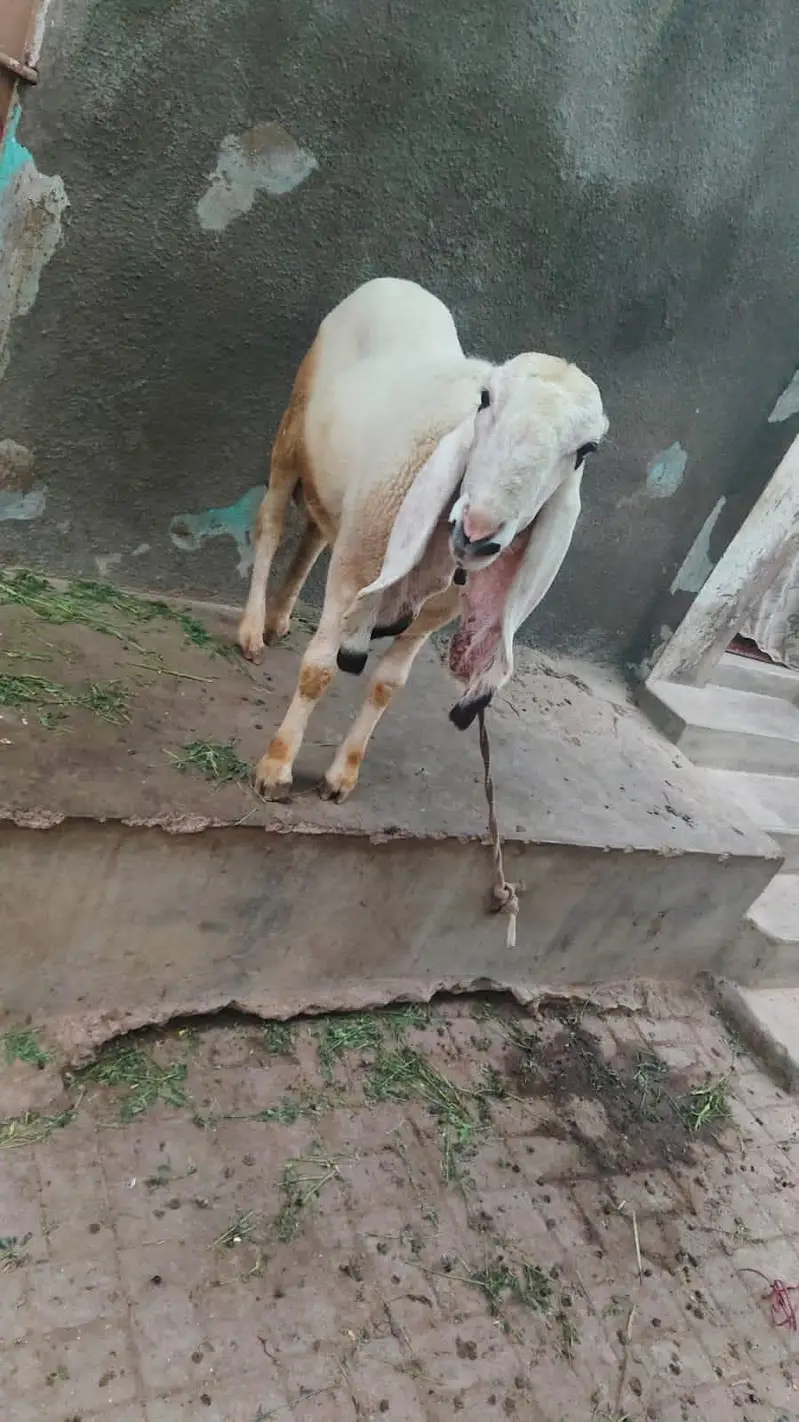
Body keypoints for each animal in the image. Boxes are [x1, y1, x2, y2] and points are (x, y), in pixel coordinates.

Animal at [238, 277, 607, 803]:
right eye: (485, 399)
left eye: (586, 449)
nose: (477, 533)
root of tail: (395, 283)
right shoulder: (353, 574)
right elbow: (319, 670)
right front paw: (277, 767)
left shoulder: (432, 616)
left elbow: (388, 685)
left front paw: (341, 776)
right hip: (292, 432)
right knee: (270, 526)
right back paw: (252, 630)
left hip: (340, 490)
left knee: (313, 537)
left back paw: (278, 618)